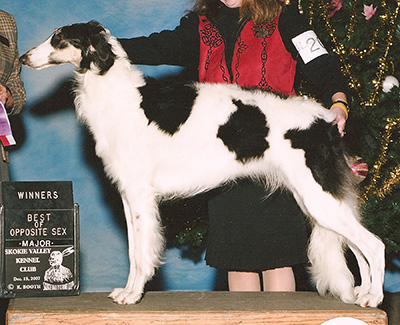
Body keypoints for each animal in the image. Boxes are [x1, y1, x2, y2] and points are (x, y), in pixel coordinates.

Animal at [20, 20, 386, 306]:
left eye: (59, 37)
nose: (23, 58)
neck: (118, 95)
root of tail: (328, 121)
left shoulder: (139, 195)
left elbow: (141, 254)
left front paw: (132, 295)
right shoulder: (127, 195)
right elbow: (133, 251)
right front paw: (127, 291)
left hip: (318, 197)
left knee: (375, 245)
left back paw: (374, 297)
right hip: (319, 201)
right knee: (358, 249)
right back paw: (361, 293)